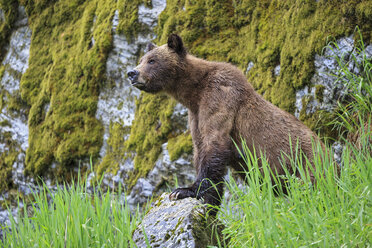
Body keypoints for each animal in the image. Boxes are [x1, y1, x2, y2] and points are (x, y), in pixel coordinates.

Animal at [128, 33, 326, 211]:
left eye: (152, 60)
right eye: (142, 59)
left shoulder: (220, 97)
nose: (132, 73)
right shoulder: (196, 115)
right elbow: (201, 149)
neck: (194, 93)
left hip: (307, 163)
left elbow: (214, 143)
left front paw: (184, 190)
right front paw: (209, 203)